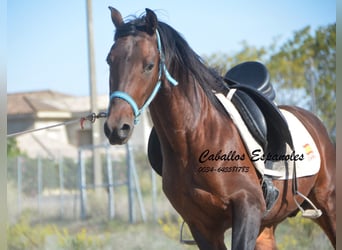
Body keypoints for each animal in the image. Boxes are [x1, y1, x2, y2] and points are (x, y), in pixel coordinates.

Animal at [103, 6, 336, 249]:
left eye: (149, 65)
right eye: (110, 61)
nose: (116, 127)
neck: (194, 139)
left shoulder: (247, 208)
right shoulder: (202, 226)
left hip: (328, 204)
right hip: (266, 227)